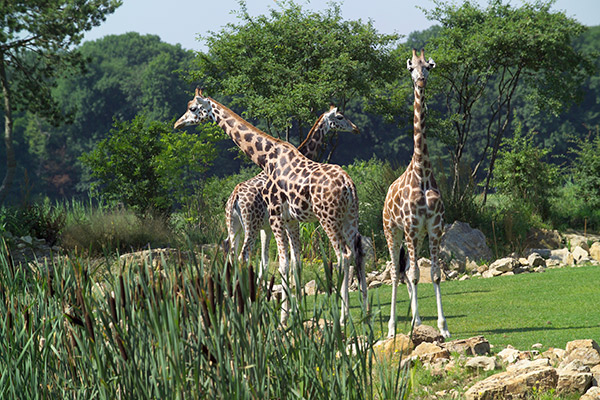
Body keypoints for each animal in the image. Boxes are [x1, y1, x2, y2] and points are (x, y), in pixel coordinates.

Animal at [224, 106, 358, 282]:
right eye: (340, 117)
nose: (355, 128)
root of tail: (235, 197)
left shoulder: (267, 227)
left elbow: (266, 262)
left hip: (234, 225)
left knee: (230, 253)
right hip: (250, 225)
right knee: (243, 255)